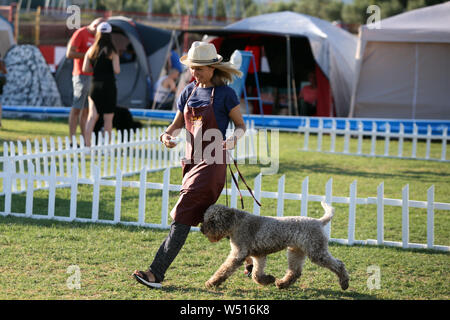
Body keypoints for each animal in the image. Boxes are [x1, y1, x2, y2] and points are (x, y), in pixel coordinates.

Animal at [201, 202, 352, 290]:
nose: (202, 229)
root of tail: (319, 222)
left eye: (212, 220)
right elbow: (256, 274)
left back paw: (344, 283)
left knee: (339, 264)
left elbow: (224, 269)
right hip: (295, 251)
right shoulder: (259, 255)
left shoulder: (238, 254)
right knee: (295, 271)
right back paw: (281, 283)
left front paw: (211, 282)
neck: (236, 223)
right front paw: (268, 279)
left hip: (316, 252)